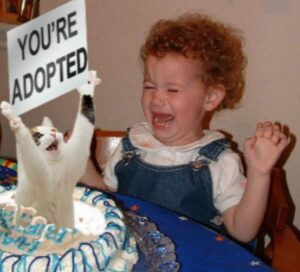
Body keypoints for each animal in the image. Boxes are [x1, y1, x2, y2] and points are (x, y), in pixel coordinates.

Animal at [0, 71, 102, 228]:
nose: (54, 134)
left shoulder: (76, 155)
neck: (54, 167)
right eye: (38, 135)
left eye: (53, 130)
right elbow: (26, 141)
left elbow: (86, 119)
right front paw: (13, 117)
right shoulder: (37, 171)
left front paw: (87, 86)